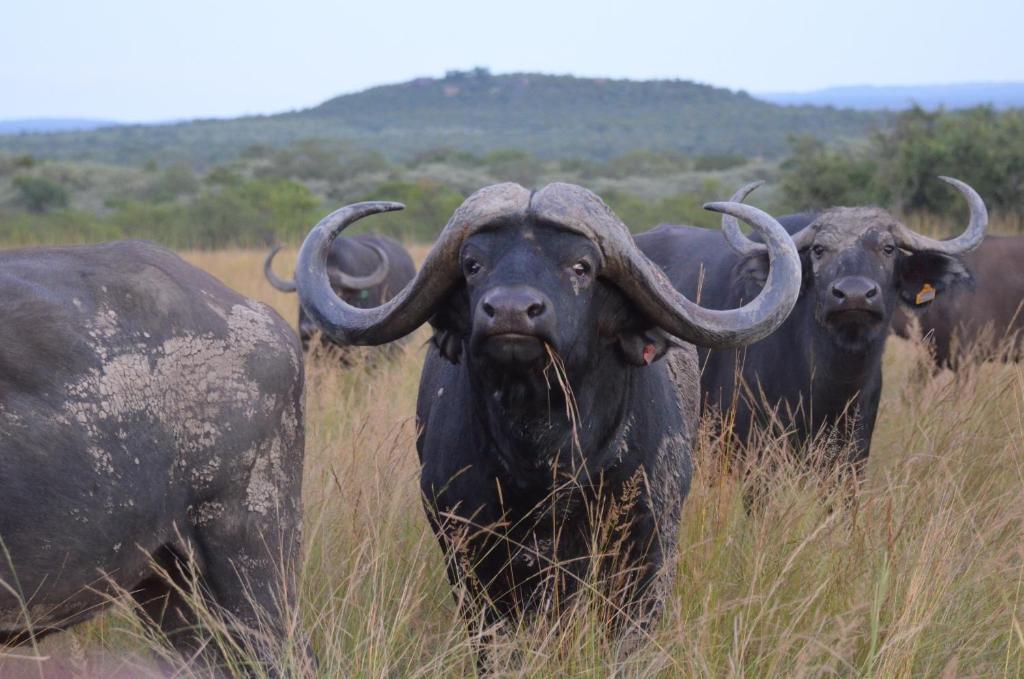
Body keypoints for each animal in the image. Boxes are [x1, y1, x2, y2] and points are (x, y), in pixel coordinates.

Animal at [292, 183, 802, 651]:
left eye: (581, 266)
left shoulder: (647, 546)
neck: (544, 457)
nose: (510, 311)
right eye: (473, 264)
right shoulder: (466, 549)